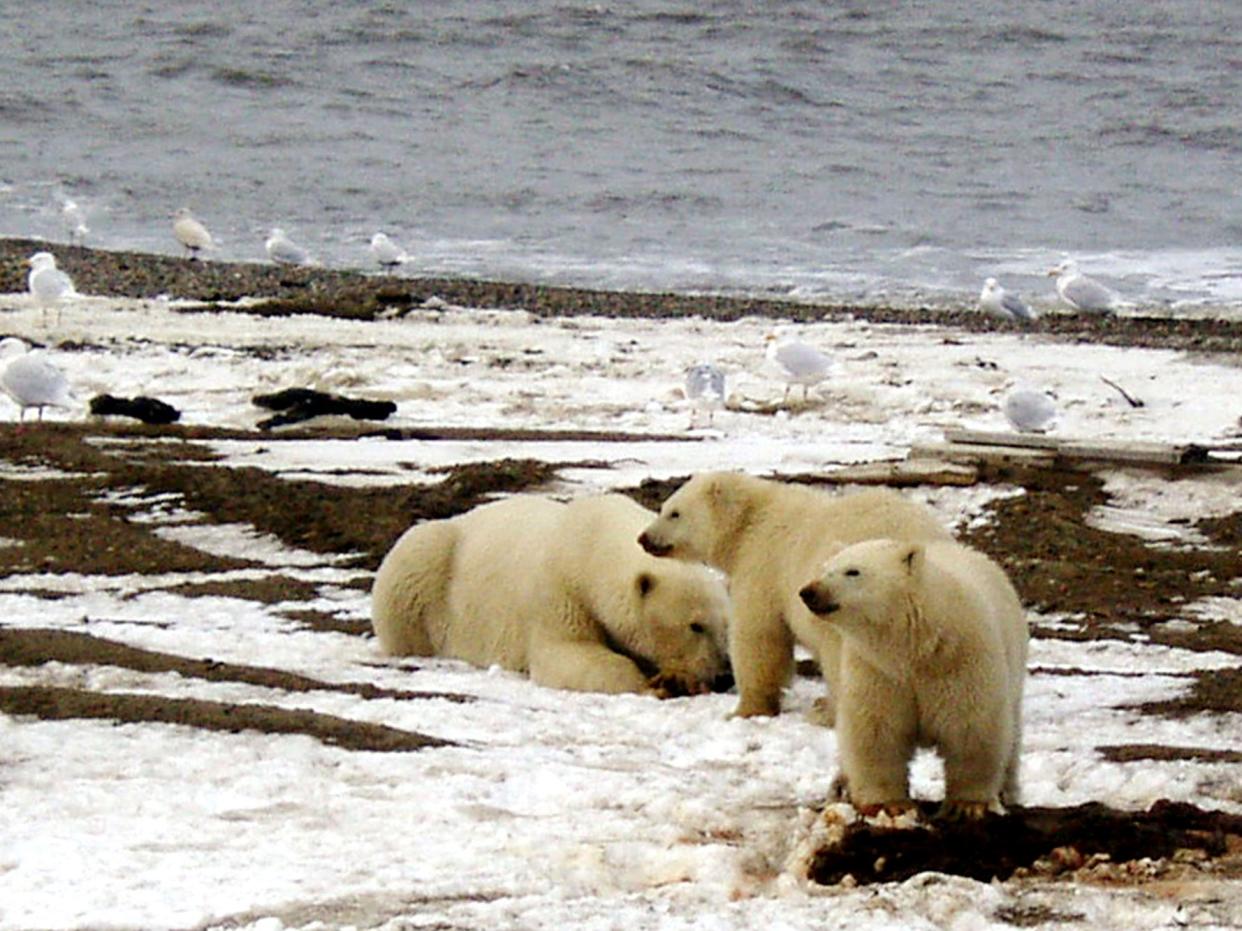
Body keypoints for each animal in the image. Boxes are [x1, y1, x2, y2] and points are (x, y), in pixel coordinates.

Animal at [372, 496, 730, 700]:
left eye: (725, 626)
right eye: (695, 625)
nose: (724, 675)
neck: (591, 544)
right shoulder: (560, 590)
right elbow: (567, 654)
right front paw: (657, 684)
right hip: (430, 565)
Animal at [635, 474, 943, 719]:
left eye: (674, 513)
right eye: (664, 508)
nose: (644, 538)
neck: (751, 520)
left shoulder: (765, 564)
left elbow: (759, 636)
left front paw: (746, 709)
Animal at [794, 536, 1028, 819]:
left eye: (853, 571)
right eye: (825, 568)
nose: (808, 591)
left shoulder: (961, 660)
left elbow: (971, 726)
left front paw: (967, 804)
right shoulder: (877, 670)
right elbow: (876, 729)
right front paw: (889, 804)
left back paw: (1007, 792)